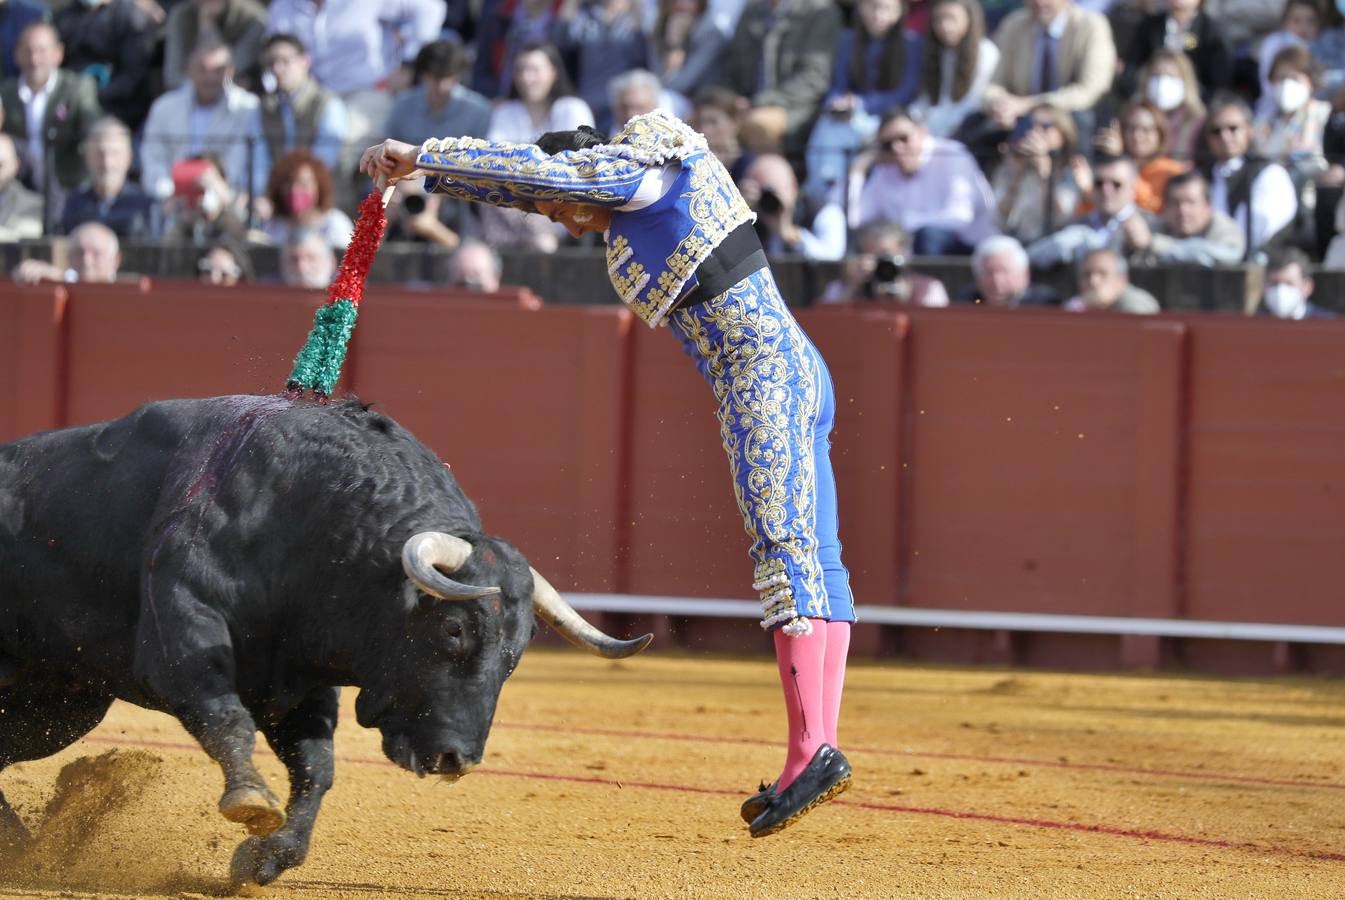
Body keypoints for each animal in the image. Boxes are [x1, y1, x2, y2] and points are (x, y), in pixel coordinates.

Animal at [0, 395, 650, 882]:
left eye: (516, 655)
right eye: (454, 628)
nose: (456, 760)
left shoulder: (301, 687)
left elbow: (317, 767)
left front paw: (267, 858)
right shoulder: (182, 634)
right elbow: (224, 716)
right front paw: (250, 801)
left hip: (59, 705)